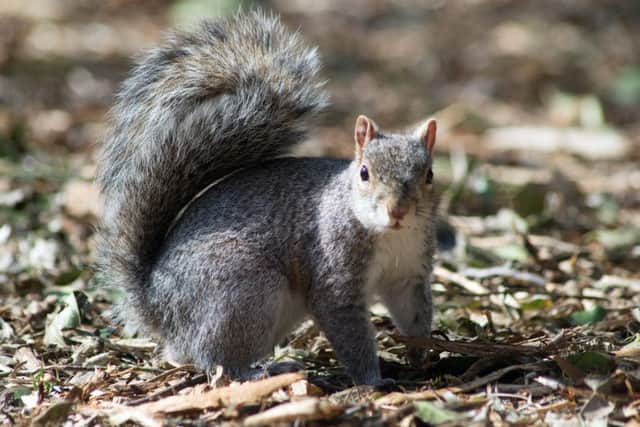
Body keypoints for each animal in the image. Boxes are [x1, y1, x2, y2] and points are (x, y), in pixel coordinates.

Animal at [97, 10, 440, 388]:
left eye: (429, 174)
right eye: (364, 173)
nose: (398, 210)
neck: (390, 236)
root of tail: (158, 304)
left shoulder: (408, 275)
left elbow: (414, 315)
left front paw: (422, 355)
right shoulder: (335, 277)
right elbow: (349, 332)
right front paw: (374, 380)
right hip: (244, 293)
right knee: (213, 359)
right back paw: (263, 370)